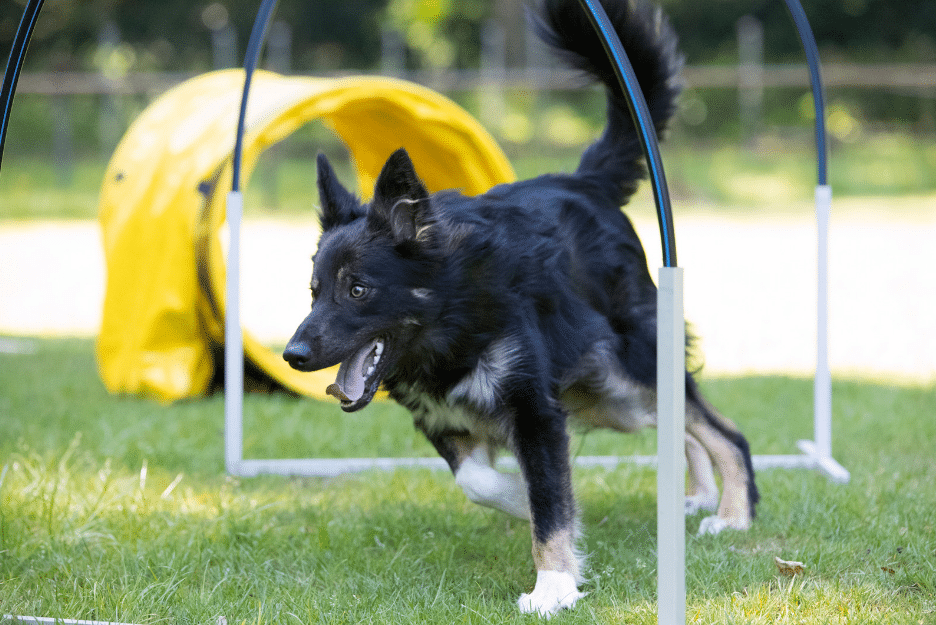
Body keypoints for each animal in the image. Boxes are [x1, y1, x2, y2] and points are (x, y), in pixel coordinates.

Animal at [282, 0, 756, 616]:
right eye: (314, 291)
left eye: (357, 290)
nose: (292, 354)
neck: (452, 315)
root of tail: (582, 182)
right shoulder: (448, 419)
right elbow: (481, 482)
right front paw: (518, 500)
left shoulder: (535, 410)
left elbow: (550, 497)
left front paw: (553, 585)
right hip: (604, 398)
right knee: (684, 427)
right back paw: (697, 496)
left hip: (624, 377)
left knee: (725, 433)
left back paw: (734, 516)